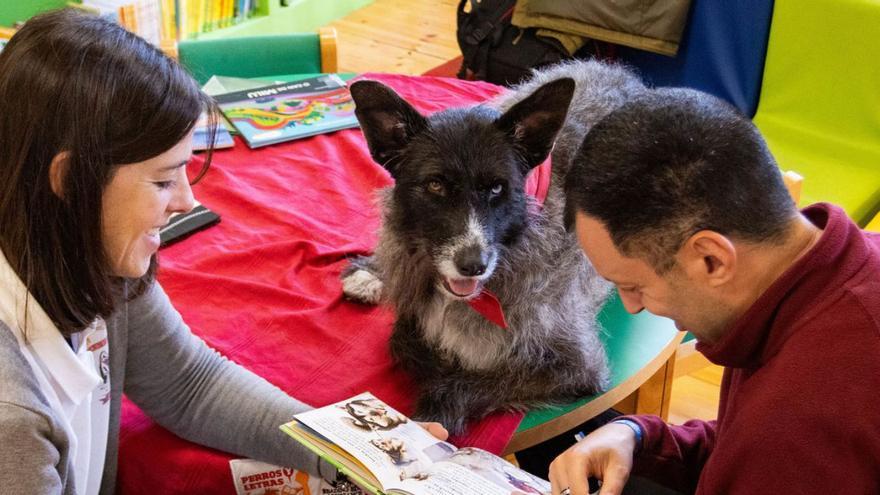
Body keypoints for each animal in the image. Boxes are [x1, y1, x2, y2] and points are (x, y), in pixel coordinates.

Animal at [344, 61, 648, 434]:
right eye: (435, 185)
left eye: (497, 188)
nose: (473, 264)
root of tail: (623, 73)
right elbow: (402, 339)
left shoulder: (576, 365)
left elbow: (469, 381)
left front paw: (436, 405)